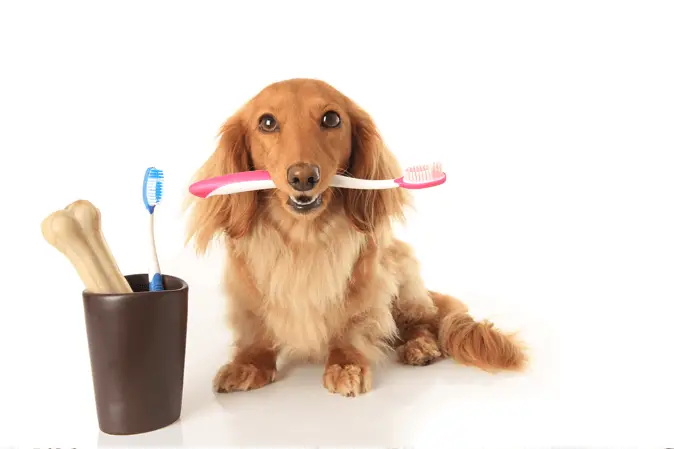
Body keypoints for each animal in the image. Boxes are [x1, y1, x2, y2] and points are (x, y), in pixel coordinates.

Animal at [185, 77, 524, 396]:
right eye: (267, 123)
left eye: (331, 119)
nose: (303, 177)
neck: (303, 237)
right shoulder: (248, 289)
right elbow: (256, 331)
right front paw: (249, 365)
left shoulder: (365, 282)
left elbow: (349, 325)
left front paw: (345, 364)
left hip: (402, 275)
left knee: (422, 323)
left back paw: (420, 346)